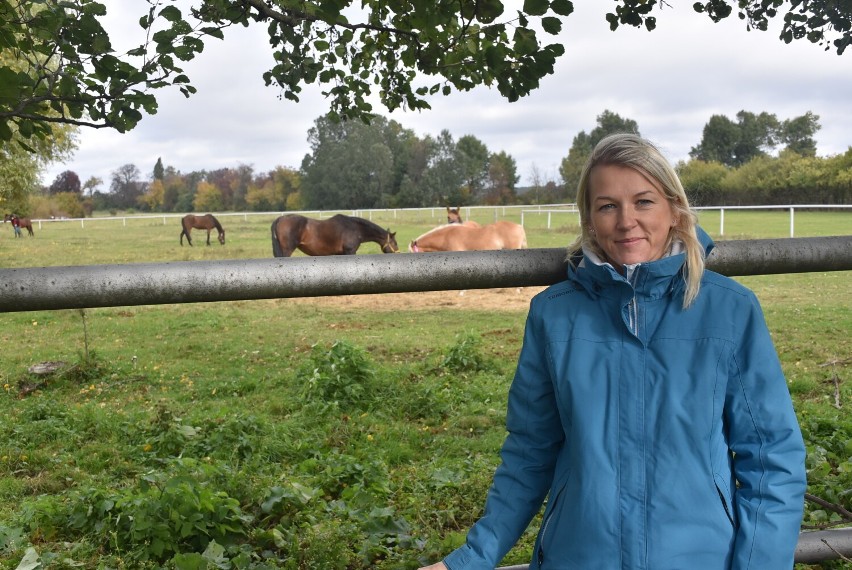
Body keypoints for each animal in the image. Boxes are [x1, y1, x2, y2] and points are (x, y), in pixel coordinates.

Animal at [272, 213, 402, 258]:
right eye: (395, 243)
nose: (398, 253)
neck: (355, 228)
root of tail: (281, 218)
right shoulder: (350, 252)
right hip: (287, 251)